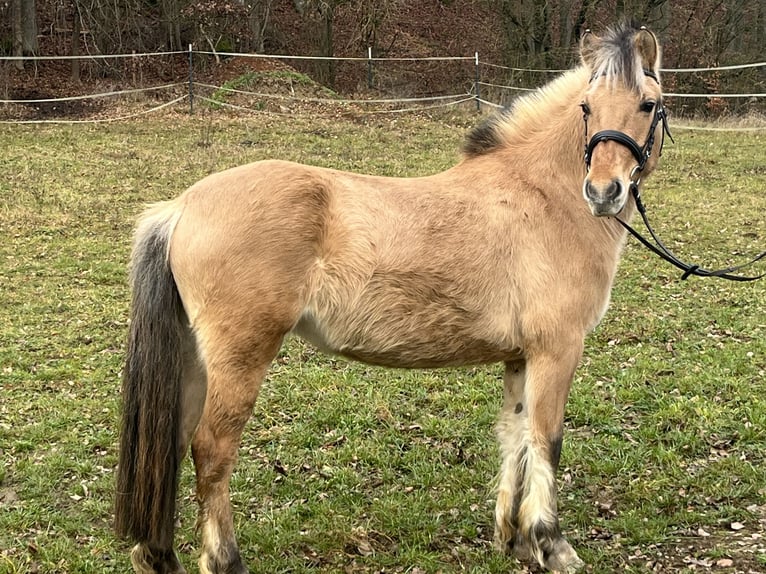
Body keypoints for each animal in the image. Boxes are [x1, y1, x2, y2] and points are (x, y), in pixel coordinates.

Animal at [115, 21, 669, 574]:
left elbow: (515, 436)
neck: (541, 197)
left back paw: (159, 555)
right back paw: (225, 559)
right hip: (239, 358)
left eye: (647, 104)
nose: (603, 192)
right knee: (211, 450)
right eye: (586, 107)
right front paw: (551, 545)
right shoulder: (557, 350)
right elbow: (547, 441)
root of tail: (180, 207)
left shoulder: (520, 356)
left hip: (193, 357)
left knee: (168, 443)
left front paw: (514, 539)